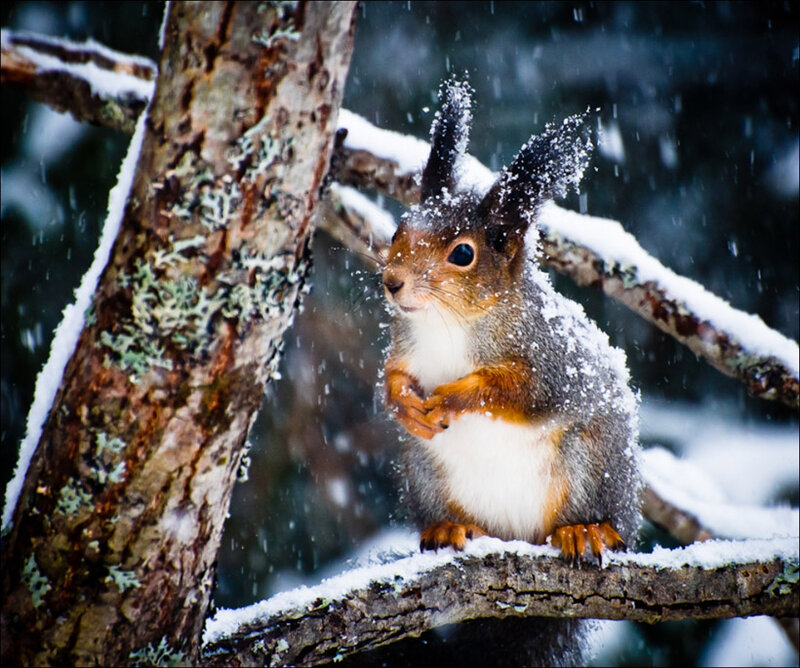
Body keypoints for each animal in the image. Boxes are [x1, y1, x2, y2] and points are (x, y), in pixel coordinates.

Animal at [380, 79, 641, 666]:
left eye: (462, 254)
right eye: (399, 228)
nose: (392, 281)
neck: (450, 326)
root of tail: (516, 535)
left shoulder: (550, 363)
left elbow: (515, 393)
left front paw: (455, 395)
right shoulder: (405, 347)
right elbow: (390, 377)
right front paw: (404, 405)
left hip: (591, 464)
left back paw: (586, 532)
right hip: (426, 473)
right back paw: (449, 528)